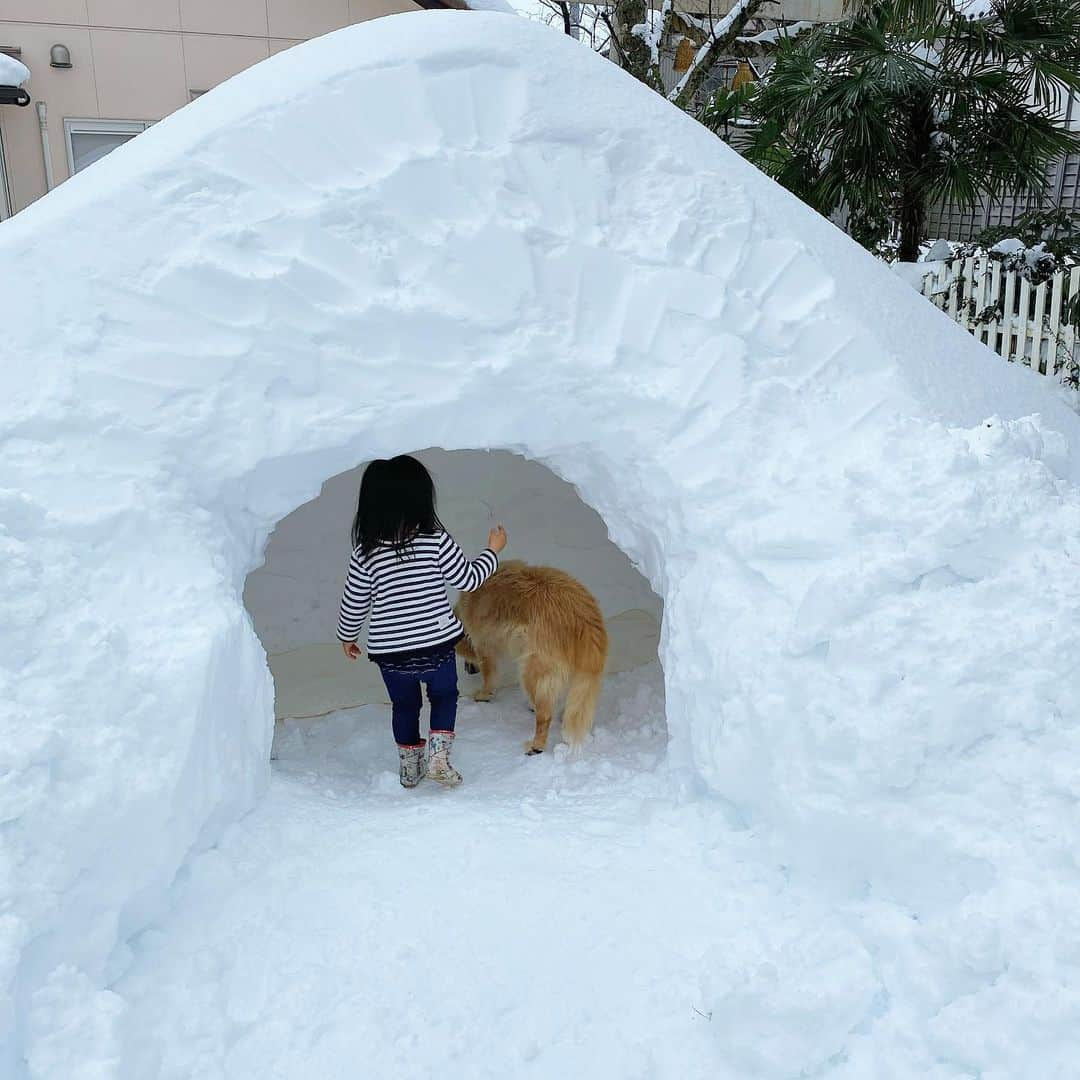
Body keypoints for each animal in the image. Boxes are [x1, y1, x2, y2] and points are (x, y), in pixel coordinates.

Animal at [455, 561, 609, 756]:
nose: (469, 670)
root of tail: (581, 614)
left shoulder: (485, 647)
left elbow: (489, 676)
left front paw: (484, 694)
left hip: (531, 670)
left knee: (545, 715)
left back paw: (537, 745)